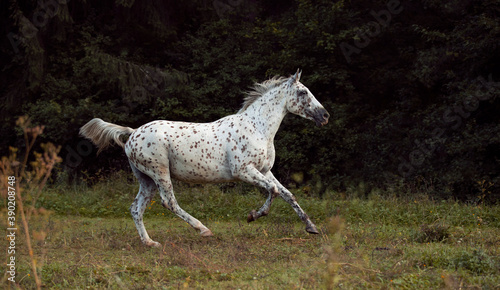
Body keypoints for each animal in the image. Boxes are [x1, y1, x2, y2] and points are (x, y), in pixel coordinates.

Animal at [81, 69, 332, 247]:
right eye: (303, 92)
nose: (325, 116)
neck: (257, 128)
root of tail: (133, 133)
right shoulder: (244, 171)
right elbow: (275, 191)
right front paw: (253, 216)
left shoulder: (264, 171)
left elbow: (288, 194)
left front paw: (312, 227)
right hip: (159, 173)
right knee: (169, 203)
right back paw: (203, 230)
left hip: (146, 179)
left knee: (136, 209)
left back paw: (150, 243)